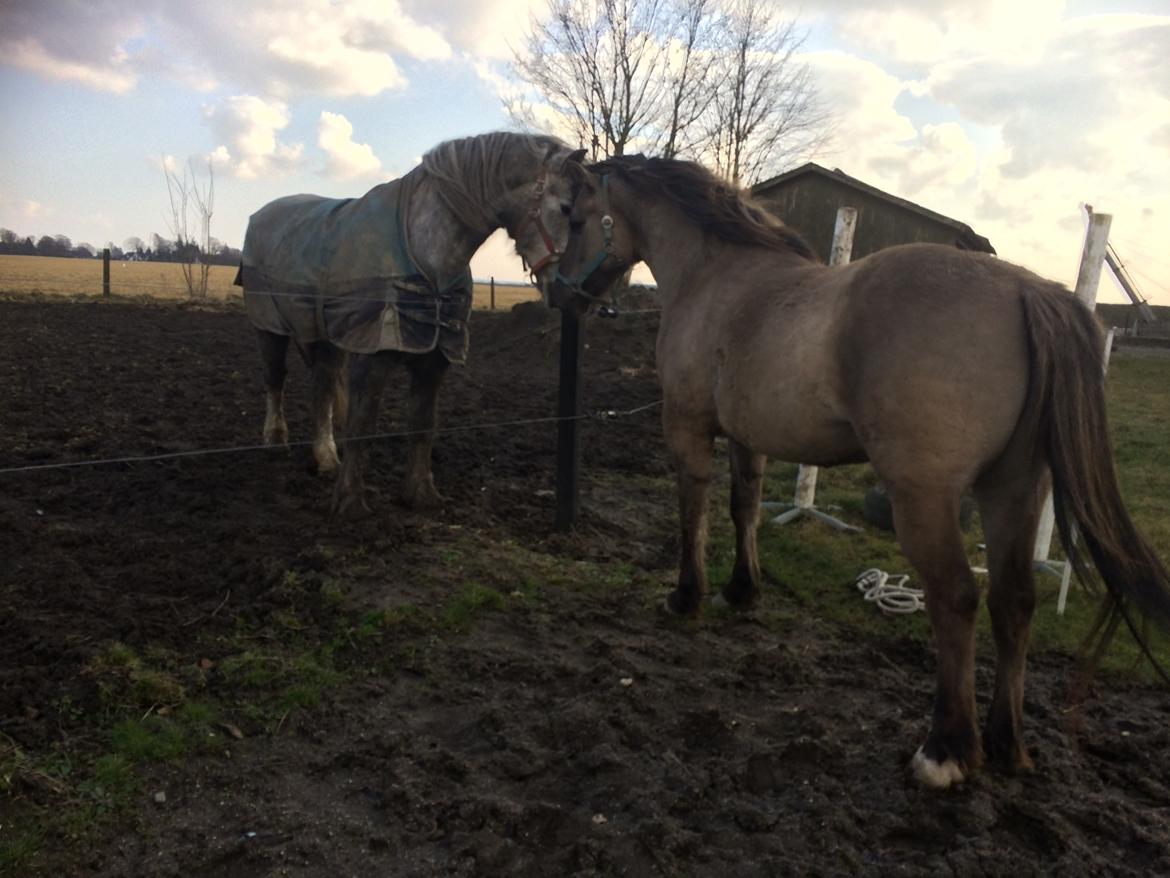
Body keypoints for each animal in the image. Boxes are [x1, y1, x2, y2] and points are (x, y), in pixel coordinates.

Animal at [237, 130, 585, 515]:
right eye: (566, 208)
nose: (574, 290)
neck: (427, 251)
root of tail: (262, 214)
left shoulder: (435, 357)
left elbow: (422, 426)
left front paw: (421, 494)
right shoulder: (372, 354)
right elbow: (362, 425)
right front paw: (351, 503)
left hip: (324, 336)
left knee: (323, 387)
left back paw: (326, 458)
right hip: (269, 326)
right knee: (275, 379)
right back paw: (275, 439)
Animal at [549, 156, 1170, 791]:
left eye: (574, 217)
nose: (556, 291)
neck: (716, 277)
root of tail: (1026, 288)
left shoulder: (687, 426)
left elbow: (692, 510)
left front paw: (686, 596)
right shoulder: (749, 438)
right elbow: (744, 509)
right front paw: (741, 590)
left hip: (924, 498)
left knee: (957, 597)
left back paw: (944, 751)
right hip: (1013, 490)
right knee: (1014, 601)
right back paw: (1006, 745)